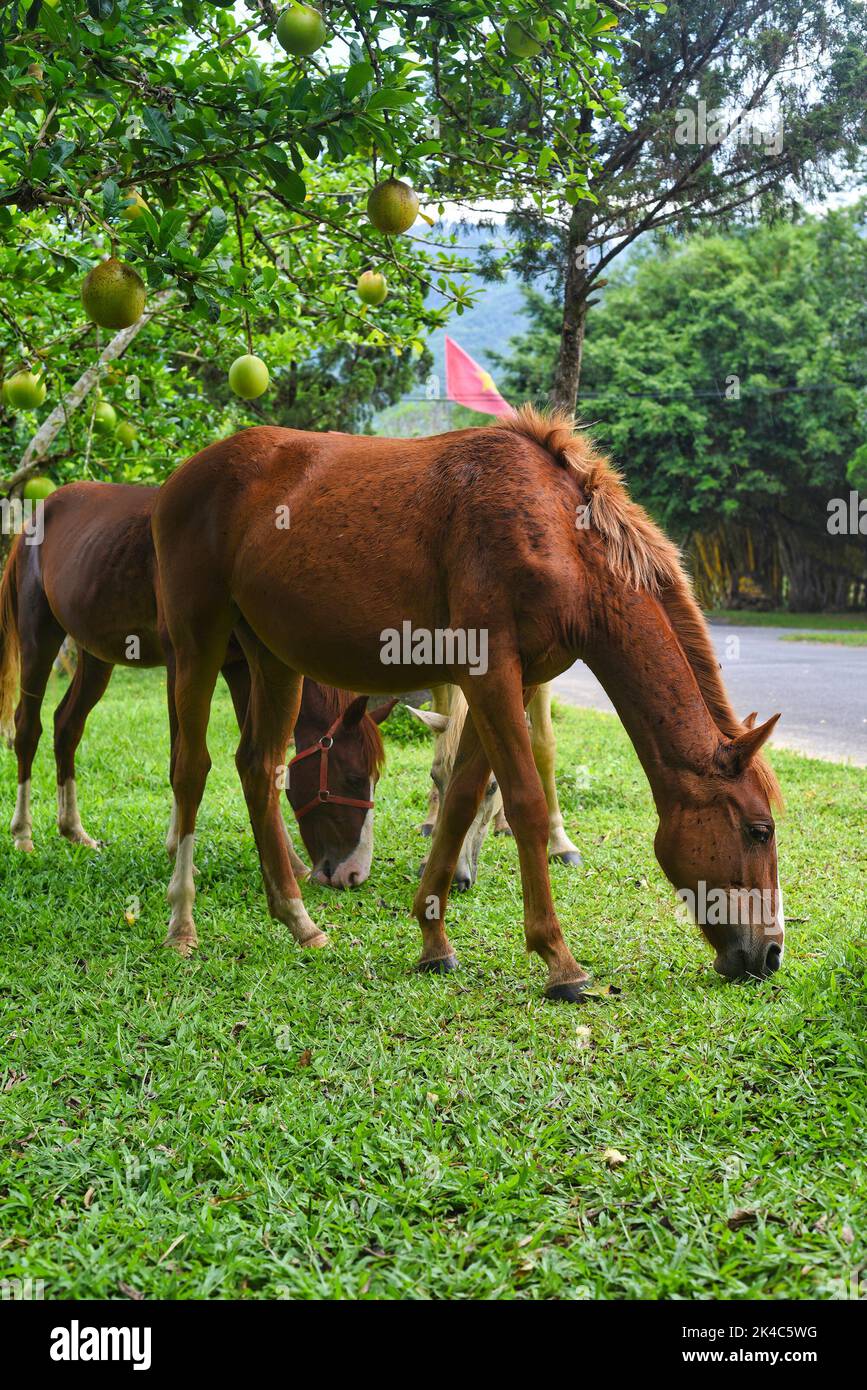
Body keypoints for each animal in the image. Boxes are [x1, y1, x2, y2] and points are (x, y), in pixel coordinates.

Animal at [0, 480, 397, 889]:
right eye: (352, 778)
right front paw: (180, 854)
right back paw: (23, 833)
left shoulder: (241, 666)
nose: (354, 873)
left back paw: (74, 831)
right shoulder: (183, 662)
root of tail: (38, 513)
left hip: (96, 654)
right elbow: (181, 755)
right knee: (28, 728)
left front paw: (288, 862)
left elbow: (261, 760)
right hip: (39, 638)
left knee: (67, 726)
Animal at [148, 405, 783, 995]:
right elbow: (525, 802)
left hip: (273, 660)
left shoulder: (507, 682)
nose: (771, 954)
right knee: (191, 769)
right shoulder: (490, 672)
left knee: (259, 768)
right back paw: (181, 926)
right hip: (197, 641)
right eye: (760, 831)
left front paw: (434, 938)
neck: (559, 532)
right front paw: (558, 959)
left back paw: (299, 921)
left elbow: (460, 799)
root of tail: (181, 477)